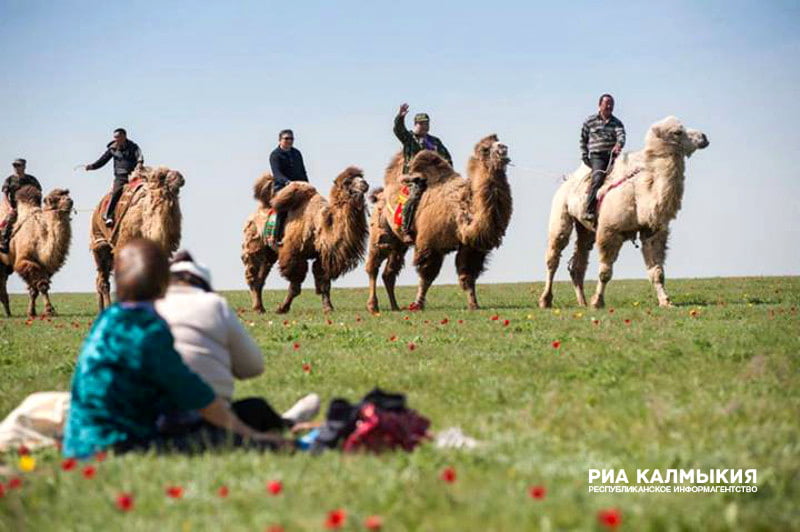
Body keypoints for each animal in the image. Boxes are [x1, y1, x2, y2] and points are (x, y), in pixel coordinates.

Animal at [0, 188, 74, 318]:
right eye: (53, 199)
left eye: (67, 194)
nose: (70, 201)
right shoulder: (25, 261)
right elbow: (42, 286)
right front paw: (49, 311)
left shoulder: (44, 266)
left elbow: (34, 290)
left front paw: (32, 312)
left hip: (5, 266)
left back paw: (8, 313)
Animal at [242, 168, 370, 314]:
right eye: (347, 182)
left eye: (361, 177)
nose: (365, 184)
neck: (320, 225)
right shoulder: (294, 254)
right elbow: (295, 287)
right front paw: (282, 308)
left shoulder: (322, 256)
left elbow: (324, 283)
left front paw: (328, 308)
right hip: (254, 244)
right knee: (252, 274)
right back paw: (258, 308)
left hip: (269, 253)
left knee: (261, 277)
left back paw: (260, 307)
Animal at [364, 135, 510, 314]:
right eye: (485, 149)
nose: (503, 148)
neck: (461, 209)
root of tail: (379, 195)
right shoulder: (430, 244)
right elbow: (426, 276)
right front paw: (417, 304)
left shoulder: (470, 247)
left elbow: (467, 275)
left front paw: (474, 304)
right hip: (381, 231)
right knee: (373, 266)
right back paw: (373, 306)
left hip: (399, 243)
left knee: (389, 273)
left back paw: (395, 306)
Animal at [540, 116, 708, 308]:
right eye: (677, 132)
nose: (704, 137)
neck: (641, 193)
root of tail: (566, 182)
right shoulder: (609, 231)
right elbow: (605, 272)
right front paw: (597, 302)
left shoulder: (651, 231)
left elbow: (657, 272)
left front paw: (666, 301)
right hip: (560, 212)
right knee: (554, 256)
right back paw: (545, 300)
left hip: (585, 229)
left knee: (578, 263)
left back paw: (582, 302)